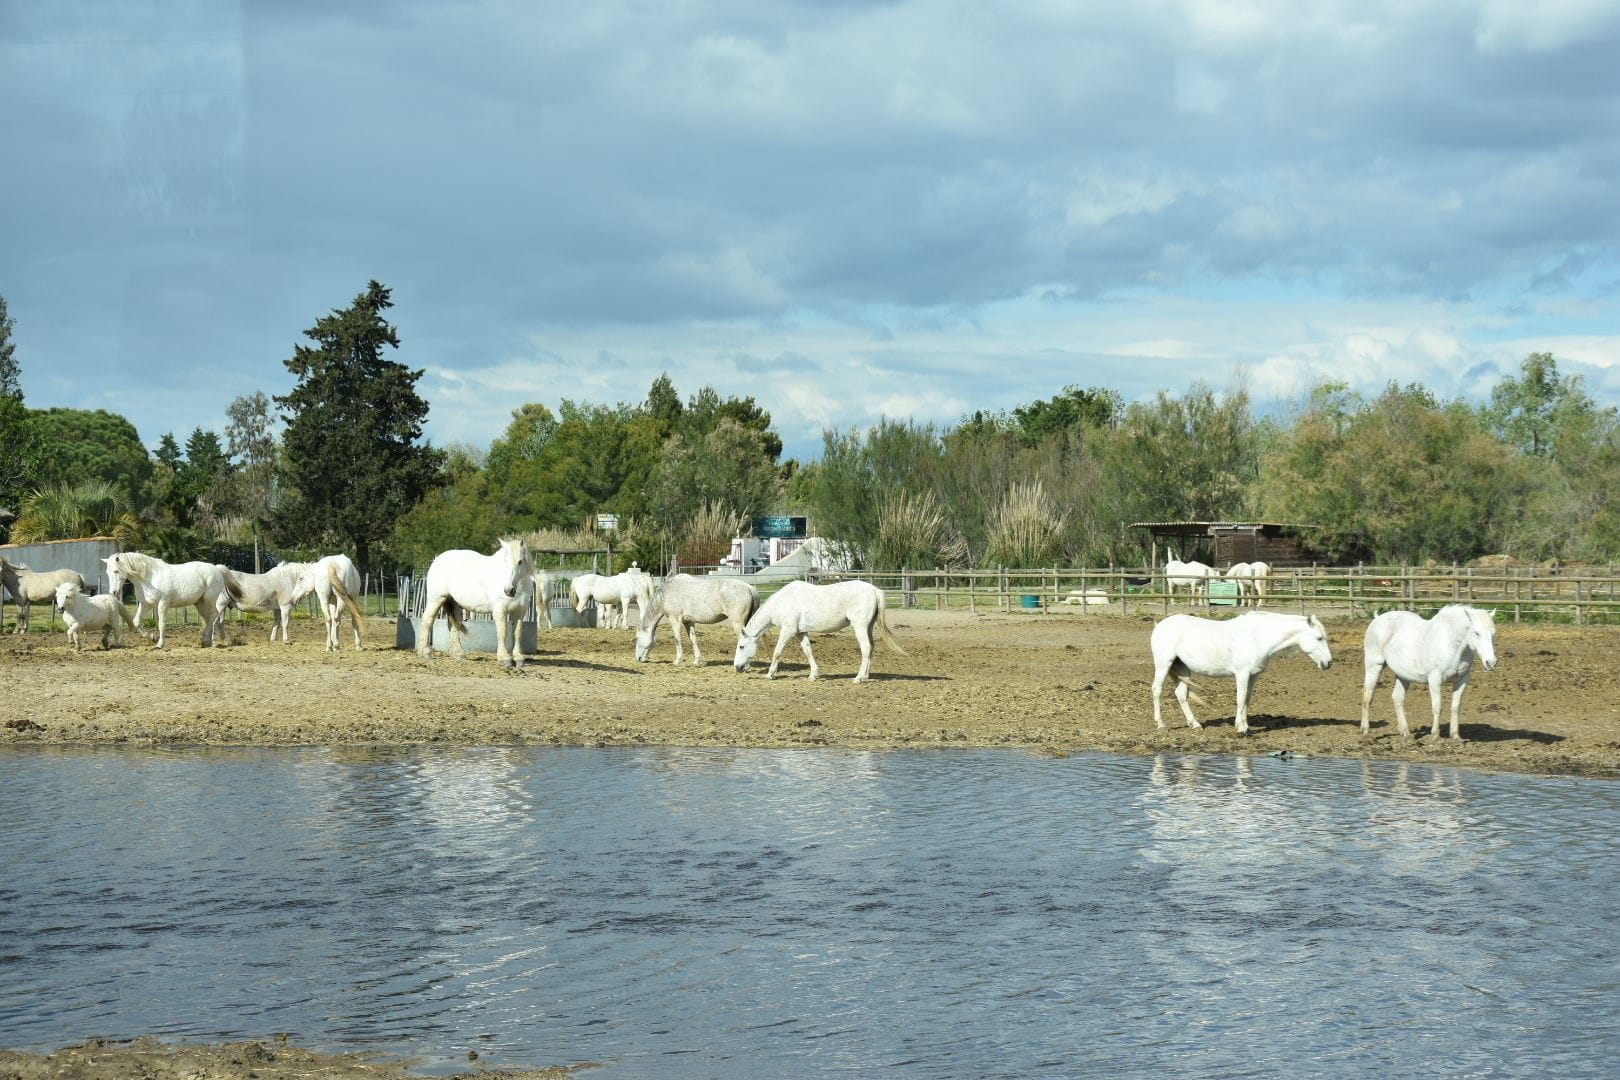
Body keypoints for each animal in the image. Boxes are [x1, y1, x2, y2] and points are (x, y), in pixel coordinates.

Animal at [102, 553, 243, 647]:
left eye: (116, 571)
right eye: (107, 572)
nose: (113, 592)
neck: (150, 577)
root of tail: (217, 569)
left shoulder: (163, 603)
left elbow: (161, 623)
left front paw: (160, 643)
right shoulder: (145, 604)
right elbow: (136, 622)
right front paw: (152, 638)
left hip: (209, 600)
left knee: (213, 616)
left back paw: (207, 641)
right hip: (199, 603)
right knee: (208, 618)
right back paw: (206, 641)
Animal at [414, 537, 534, 667]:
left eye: (520, 561)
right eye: (505, 561)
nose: (508, 590)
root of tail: (437, 559)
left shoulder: (520, 612)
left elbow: (517, 633)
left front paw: (518, 658)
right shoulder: (500, 610)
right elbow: (502, 632)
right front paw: (504, 658)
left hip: (454, 603)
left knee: (454, 624)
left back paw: (459, 654)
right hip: (436, 599)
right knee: (427, 620)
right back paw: (425, 652)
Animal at [738, 582, 913, 683]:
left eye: (741, 646)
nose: (737, 667)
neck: (783, 602)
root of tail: (875, 590)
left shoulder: (788, 630)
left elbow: (777, 652)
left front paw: (770, 674)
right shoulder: (801, 632)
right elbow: (808, 651)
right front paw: (813, 675)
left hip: (860, 626)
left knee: (866, 648)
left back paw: (858, 678)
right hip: (868, 627)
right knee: (871, 648)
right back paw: (866, 675)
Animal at [1146, 615, 1334, 735]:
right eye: (1319, 638)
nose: (1328, 663)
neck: (1259, 637)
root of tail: (1159, 625)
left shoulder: (1253, 675)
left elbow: (1247, 699)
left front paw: (1246, 727)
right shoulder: (1242, 673)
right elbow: (1240, 698)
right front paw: (1241, 728)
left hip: (1183, 667)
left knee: (1181, 694)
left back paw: (1195, 724)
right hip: (1164, 664)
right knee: (1157, 690)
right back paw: (1161, 725)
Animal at [1360, 605, 1496, 738]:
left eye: (1493, 634)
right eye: (1476, 633)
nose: (1491, 662)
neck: (1450, 643)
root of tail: (1377, 618)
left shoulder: (1462, 680)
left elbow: (1455, 707)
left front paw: (1455, 736)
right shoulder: (1435, 679)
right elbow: (1437, 706)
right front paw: (1435, 735)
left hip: (1403, 676)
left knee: (1397, 698)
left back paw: (1405, 733)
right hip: (1374, 666)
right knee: (1367, 696)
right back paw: (1366, 731)